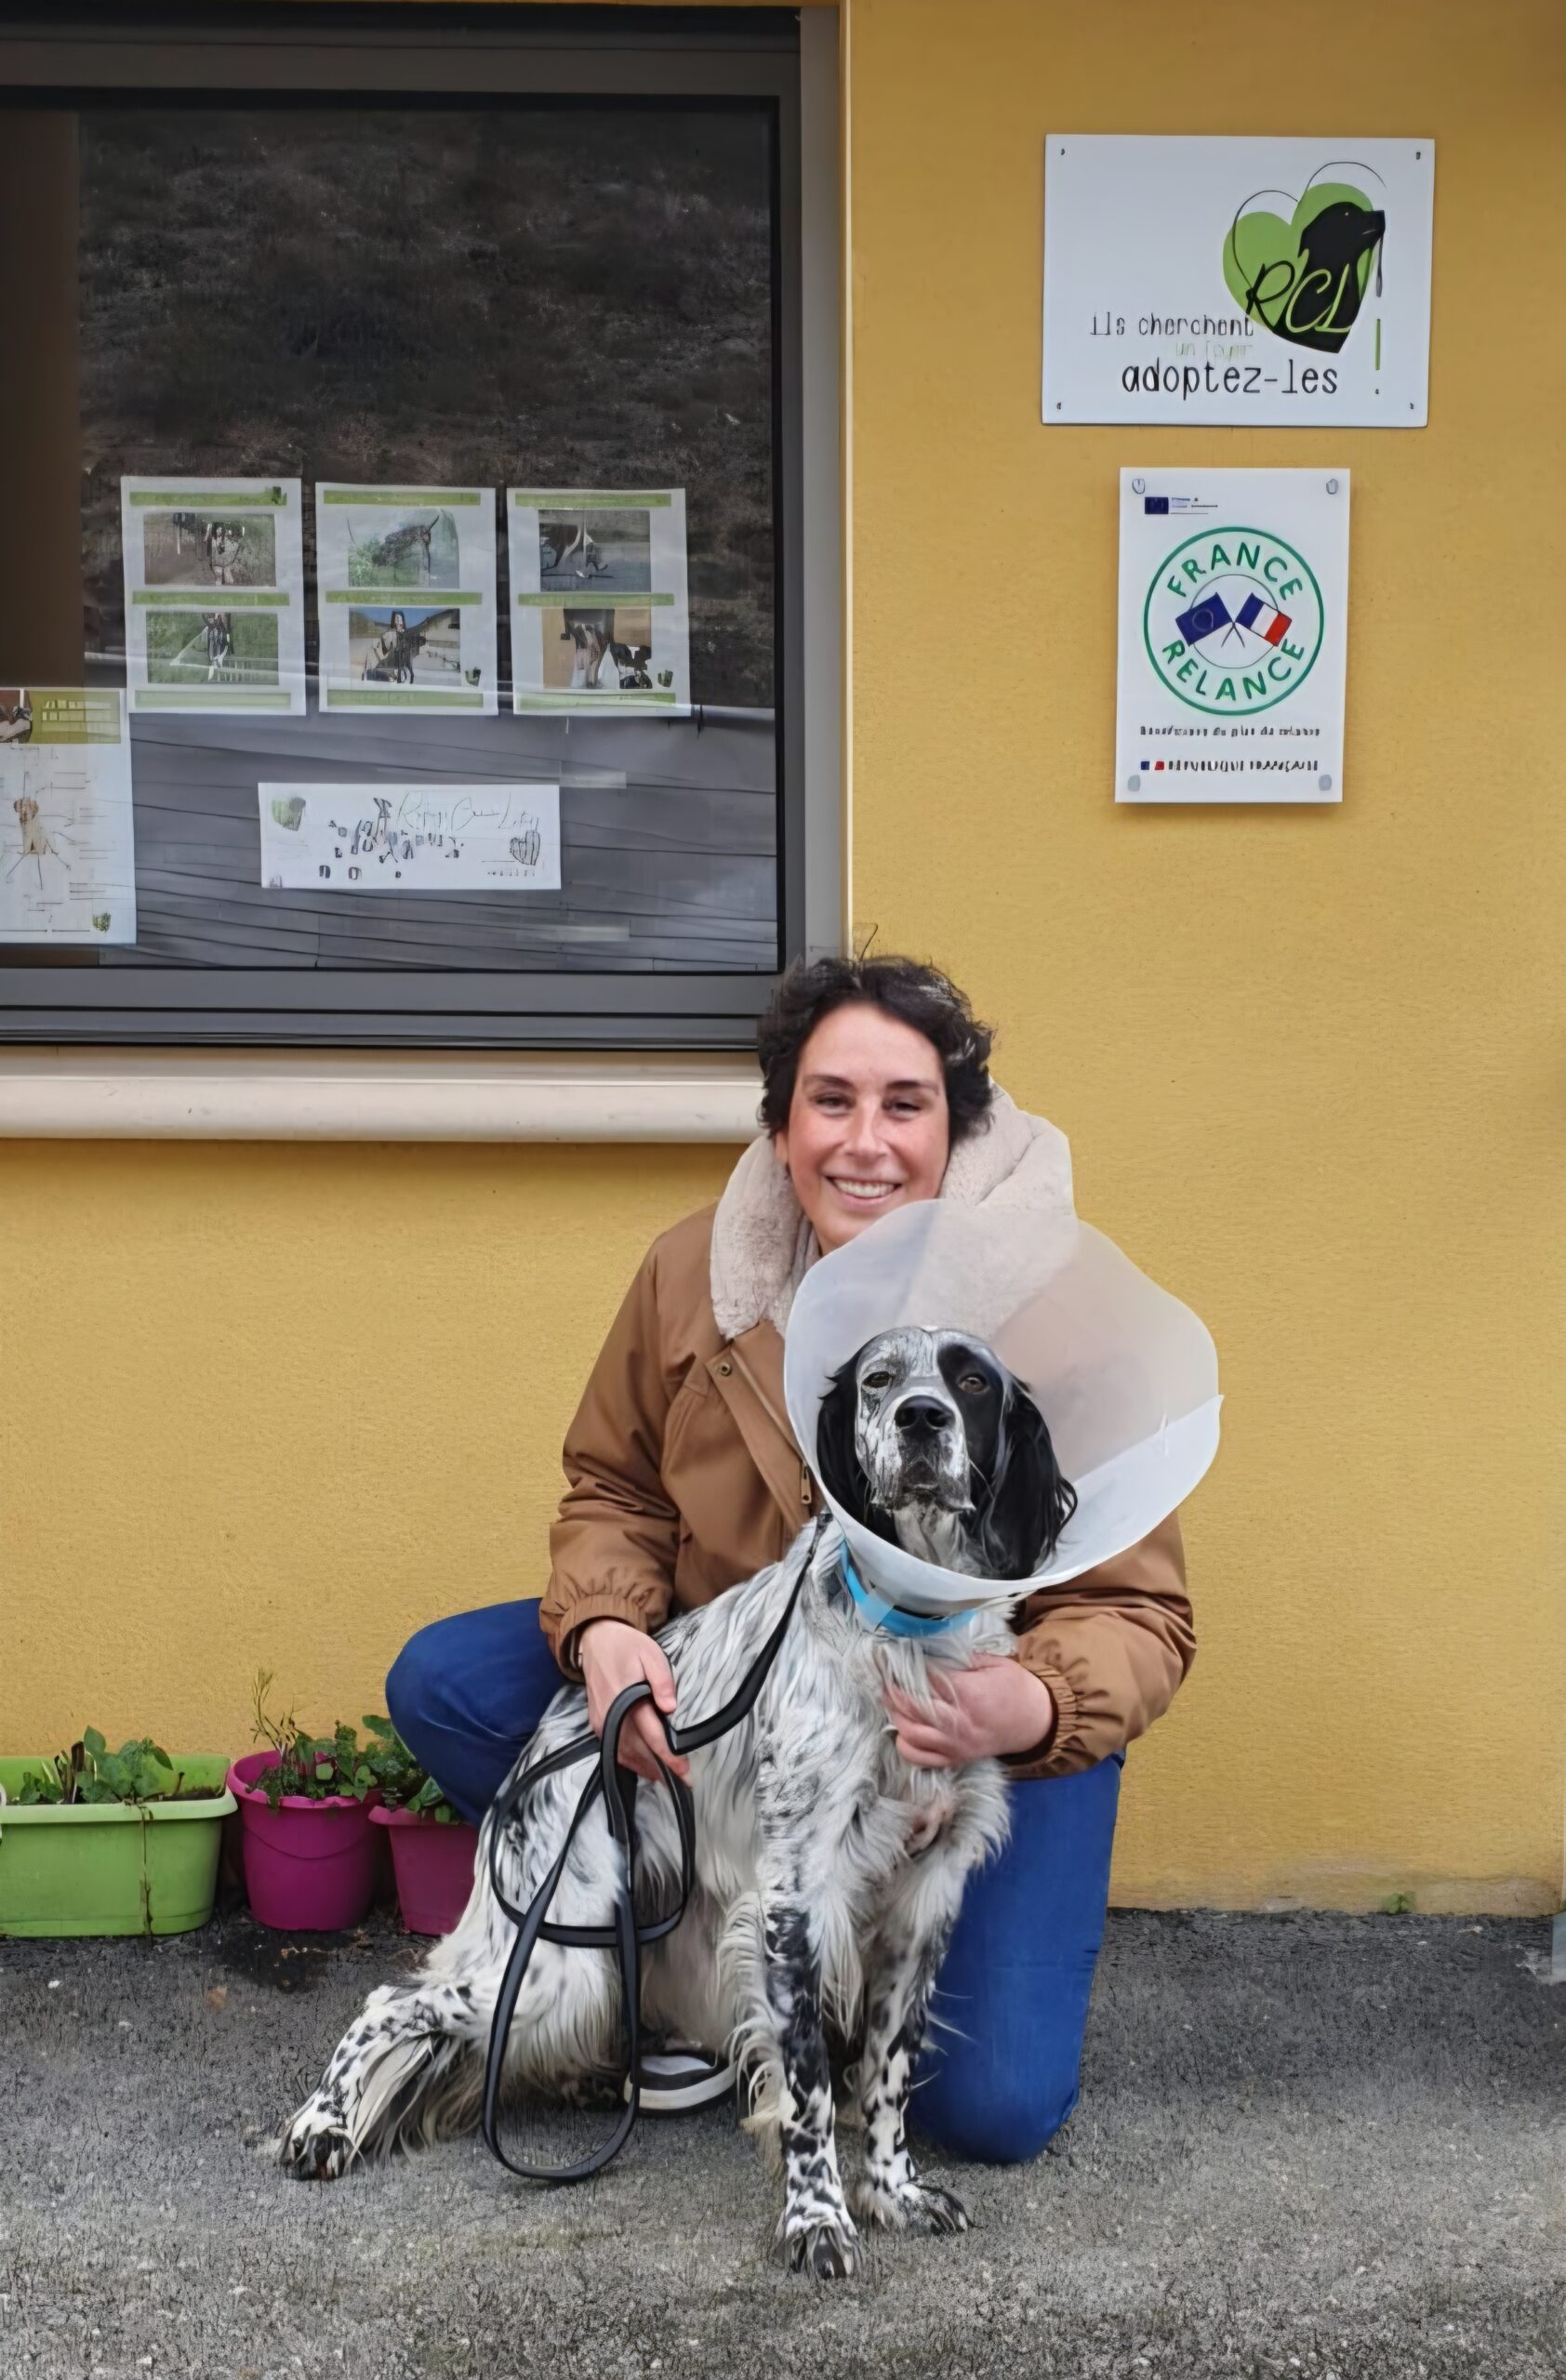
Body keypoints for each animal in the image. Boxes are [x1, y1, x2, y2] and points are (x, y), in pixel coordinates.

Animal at [272, 1327, 1075, 2279]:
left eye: (973, 1382)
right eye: (880, 1378)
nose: (923, 1417)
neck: (906, 1633)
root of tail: (537, 1756)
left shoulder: (923, 1903)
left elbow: (887, 2074)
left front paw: (893, 2192)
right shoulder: (796, 1901)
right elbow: (808, 2088)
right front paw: (817, 2218)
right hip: (556, 1960)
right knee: (390, 2000)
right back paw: (319, 2124)